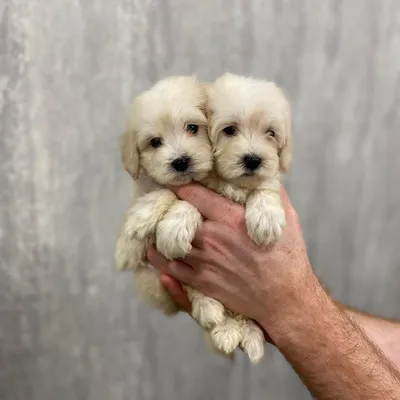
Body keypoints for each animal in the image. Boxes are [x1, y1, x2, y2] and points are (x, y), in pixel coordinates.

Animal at [114, 76, 230, 334]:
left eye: (193, 128)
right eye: (155, 142)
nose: (180, 161)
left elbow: (173, 194)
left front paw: (168, 229)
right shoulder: (143, 186)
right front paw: (127, 247)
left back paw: (210, 309)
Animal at [200, 72, 294, 362]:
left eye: (270, 133)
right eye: (229, 130)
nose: (253, 160)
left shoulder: (269, 178)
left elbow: (265, 188)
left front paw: (266, 220)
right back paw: (226, 330)